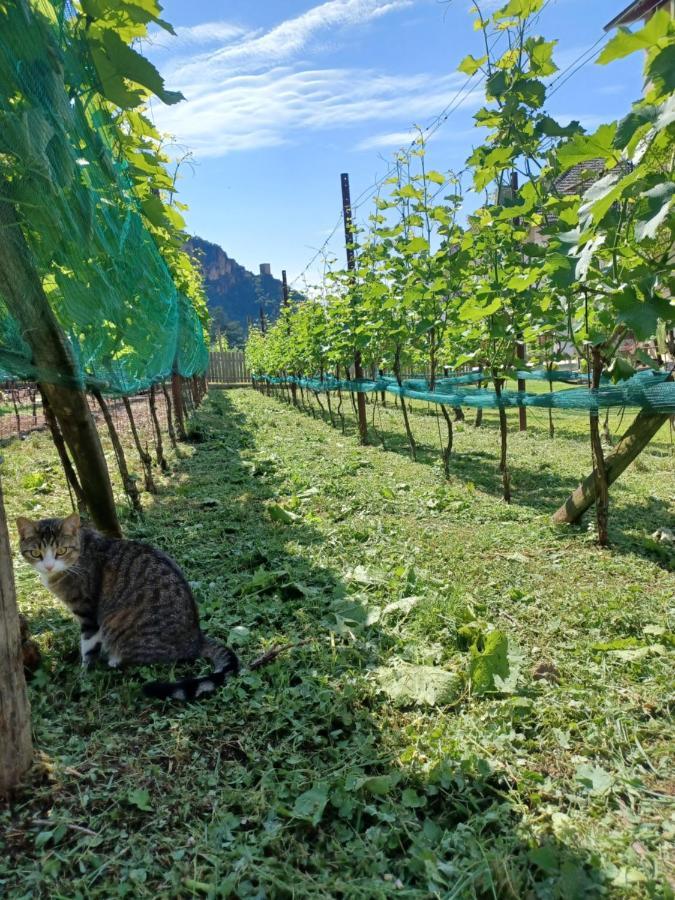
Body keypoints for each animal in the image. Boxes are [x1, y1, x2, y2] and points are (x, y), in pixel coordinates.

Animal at [15, 512, 240, 704]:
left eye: (61, 551)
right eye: (36, 553)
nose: (48, 566)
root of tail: (196, 638)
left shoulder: (88, 613)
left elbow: (88, 646)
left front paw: (83, 674)